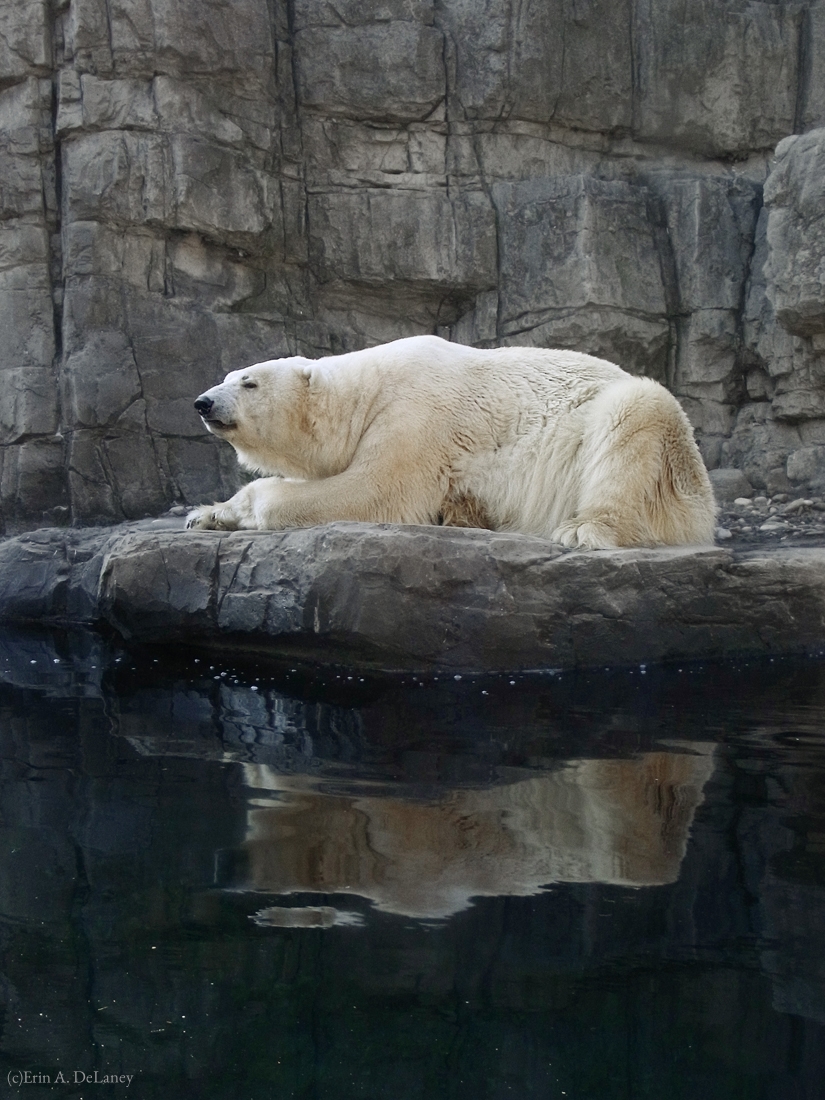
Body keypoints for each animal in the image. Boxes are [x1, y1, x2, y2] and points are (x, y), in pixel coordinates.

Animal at [187, 330, 717, 545]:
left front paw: (254, 505)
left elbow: (374, 491)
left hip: (665, 448)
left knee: (634, 414)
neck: (367, 391)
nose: (203, 402)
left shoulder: (416, 417)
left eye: (249, 382)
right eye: (227, 375)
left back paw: (584, 529)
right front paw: (207, 514)